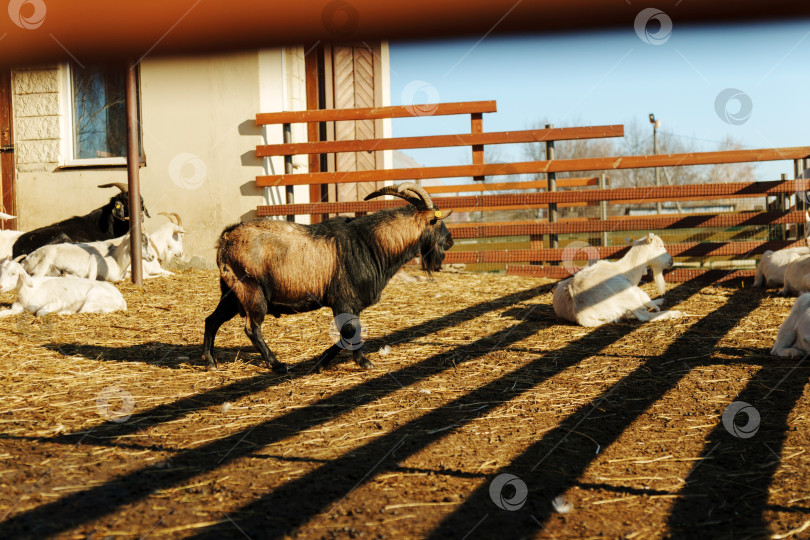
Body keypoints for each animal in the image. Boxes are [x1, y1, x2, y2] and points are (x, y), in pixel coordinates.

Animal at [202, 182, 454, 373]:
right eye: (437, 221)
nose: (450, 241)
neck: (370, 243)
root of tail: (225, 238)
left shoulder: (351, 305)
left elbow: (350, 332)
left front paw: (331, 362)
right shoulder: (344, 301)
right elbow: (350, 332)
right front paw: (355, 362)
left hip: (231, 294)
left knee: (211, 320)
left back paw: (210, 362)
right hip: (251, 290)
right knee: (251, 328)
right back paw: (277, 364)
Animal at [553, 233, 683, 327]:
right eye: (660, 246)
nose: (671, 261)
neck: (626, 269)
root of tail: (579, 312)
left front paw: (660, 300)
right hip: (625, 293)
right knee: (645, 315)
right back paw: (675, 313)